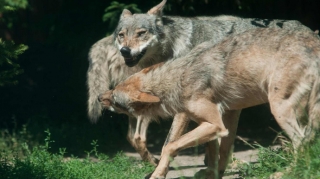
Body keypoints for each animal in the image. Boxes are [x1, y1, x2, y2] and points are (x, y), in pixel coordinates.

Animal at [86, 0, 314, 168]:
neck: (175, 46)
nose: (125, 51)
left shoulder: (182, 108)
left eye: (142, 33)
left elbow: (169, 141)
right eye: (122, 35)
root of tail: (310, 30)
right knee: (135, 137)